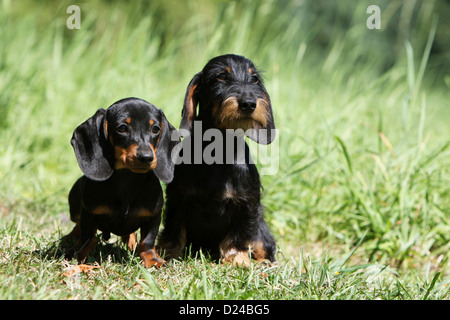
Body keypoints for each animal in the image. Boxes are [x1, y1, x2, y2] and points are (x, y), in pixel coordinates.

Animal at [65, 97, 178, 268]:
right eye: (122, 128)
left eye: (155, 129)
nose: (147, 157)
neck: (128, 179)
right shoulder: (88, 213)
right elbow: (88, 238)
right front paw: (79, 255)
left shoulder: (154, 216)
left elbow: (147, 242)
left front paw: (153, 260)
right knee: (77, 224)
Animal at [158, 54, 278, 264]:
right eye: (221, 76)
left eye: (254, 79)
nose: (249, 103)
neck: (219, 151)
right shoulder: (178, 197)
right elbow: (174, 230)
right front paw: (168, 255)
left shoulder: (247, 204)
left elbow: (239, 235)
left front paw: (238, 260)